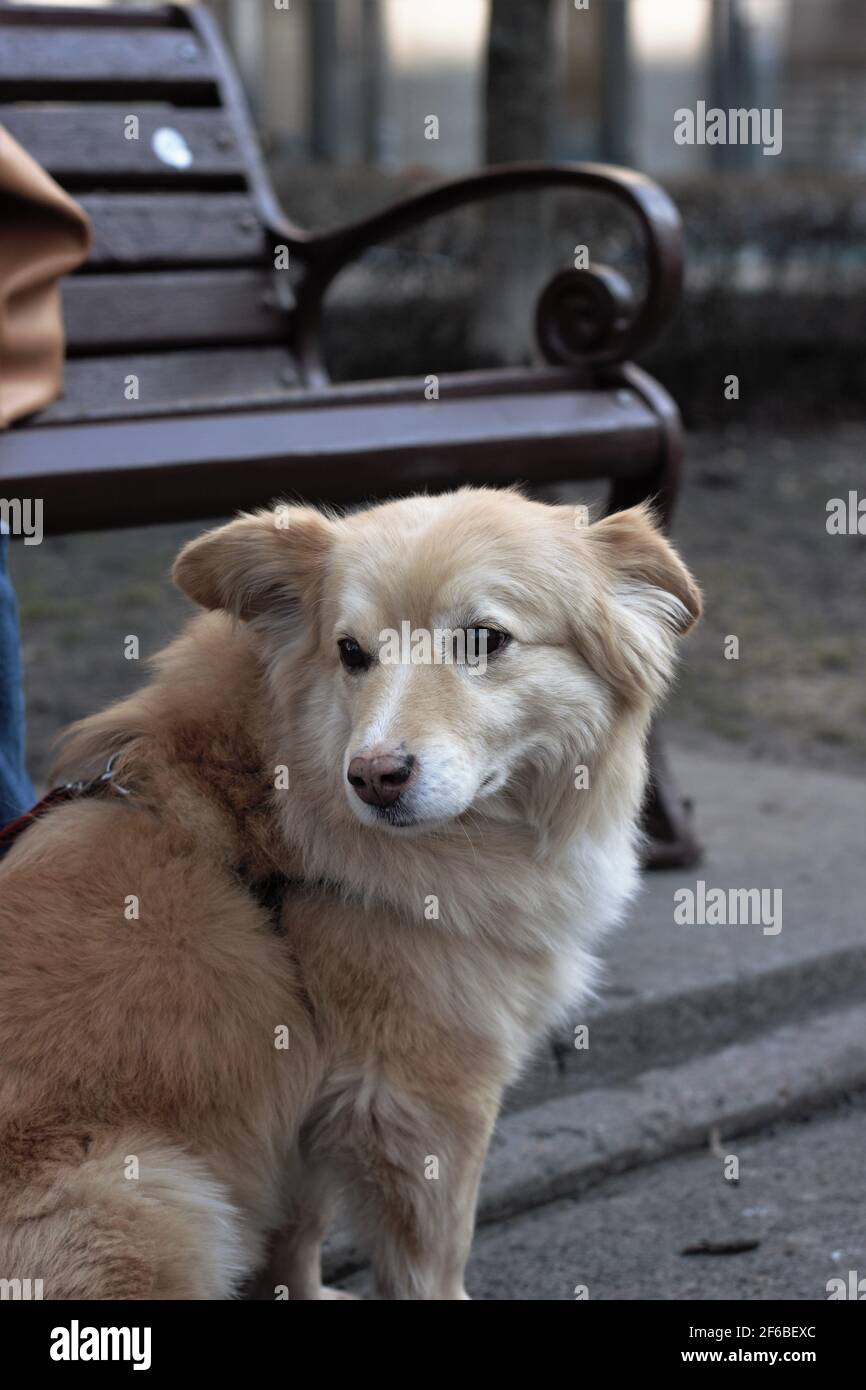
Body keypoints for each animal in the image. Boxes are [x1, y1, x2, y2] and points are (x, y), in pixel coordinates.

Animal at [0, 483, 700, 1295]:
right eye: (351, 653)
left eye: (484, 639)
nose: (372, 777)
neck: (271, 810)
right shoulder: (426, 1105)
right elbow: (432, 1263)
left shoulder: (316, 1110)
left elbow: (299, 1231)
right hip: (161, 1200)